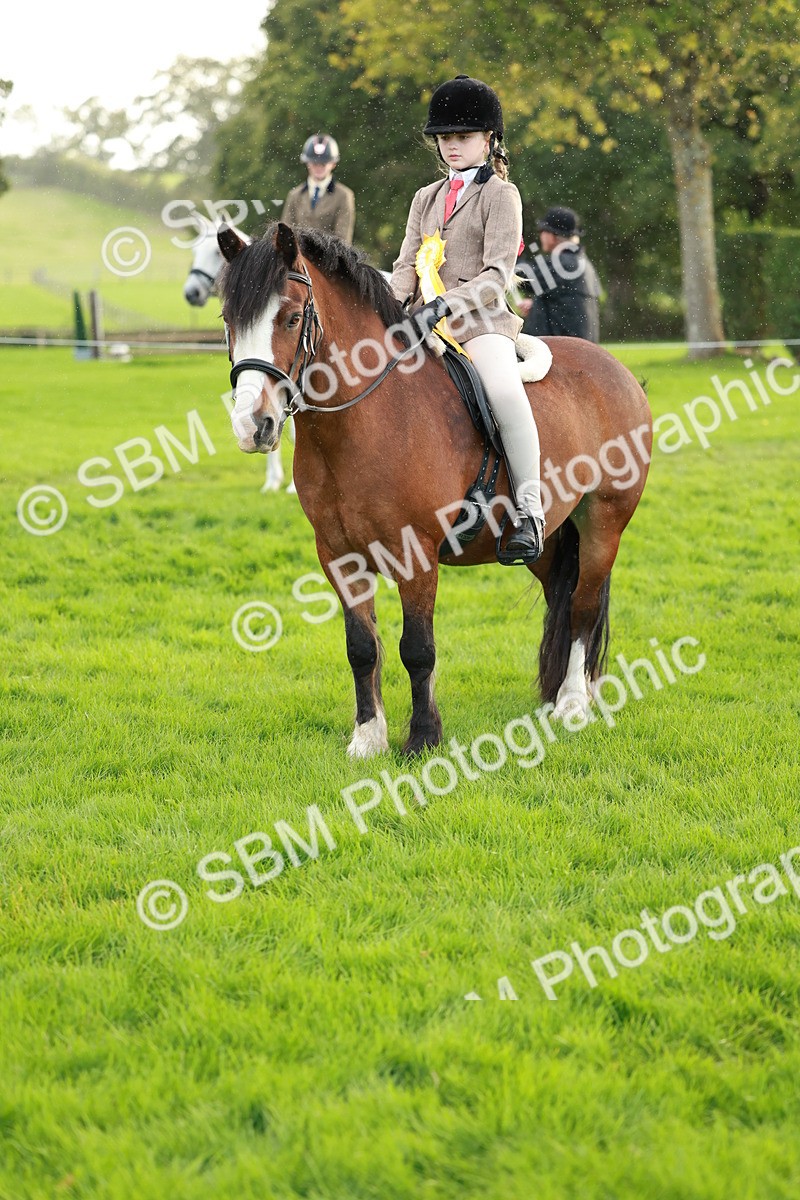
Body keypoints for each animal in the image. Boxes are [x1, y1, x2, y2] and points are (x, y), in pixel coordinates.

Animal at [218, 222, 653, 758]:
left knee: (582, 606)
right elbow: (361, 648)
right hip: (548, 537)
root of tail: (616, 368)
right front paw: (368, 737)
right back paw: (568, 695)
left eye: (293, 317)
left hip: (603, 524)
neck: (366, 420)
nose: (251, 426)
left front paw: (423, 737)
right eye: (228, 320)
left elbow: (417, 649)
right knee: (560, 594)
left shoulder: (417, 554)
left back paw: (573, 703)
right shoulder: (338, 555)